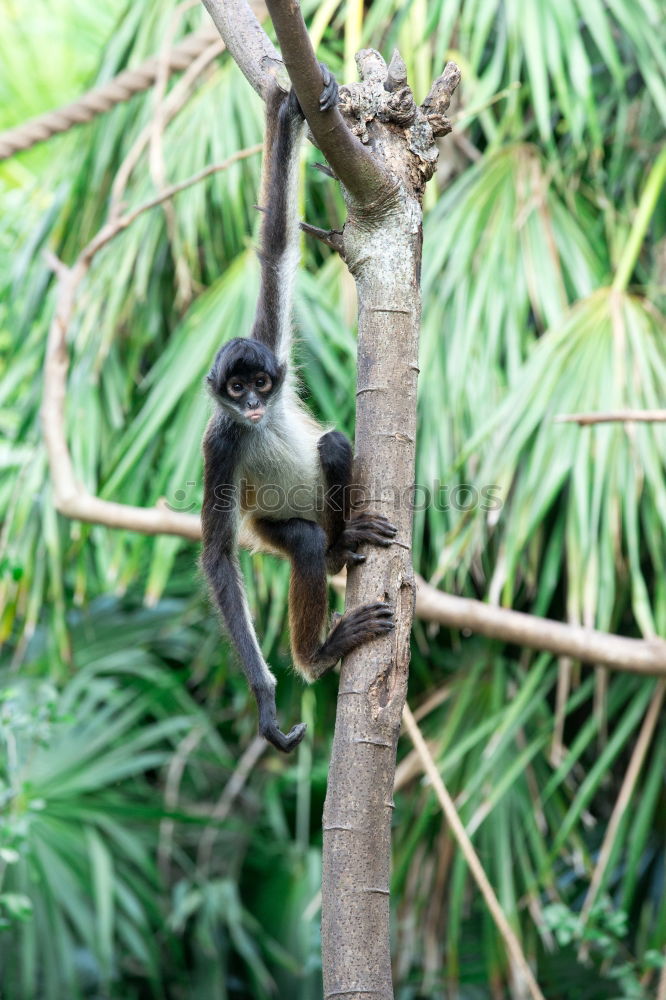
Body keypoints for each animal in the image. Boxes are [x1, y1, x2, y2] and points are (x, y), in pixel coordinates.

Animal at [200, 66, 396, 752]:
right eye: (236, 392)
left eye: (260, 382)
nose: (257, 404)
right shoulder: (220, 442)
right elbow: (218, 558)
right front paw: (264, 702)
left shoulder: (272, 346)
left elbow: (279, 244)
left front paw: (295, 112)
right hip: (270, 529)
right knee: (303, 543)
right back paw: (319, 650)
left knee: (333, 446)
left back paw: (345, 544)